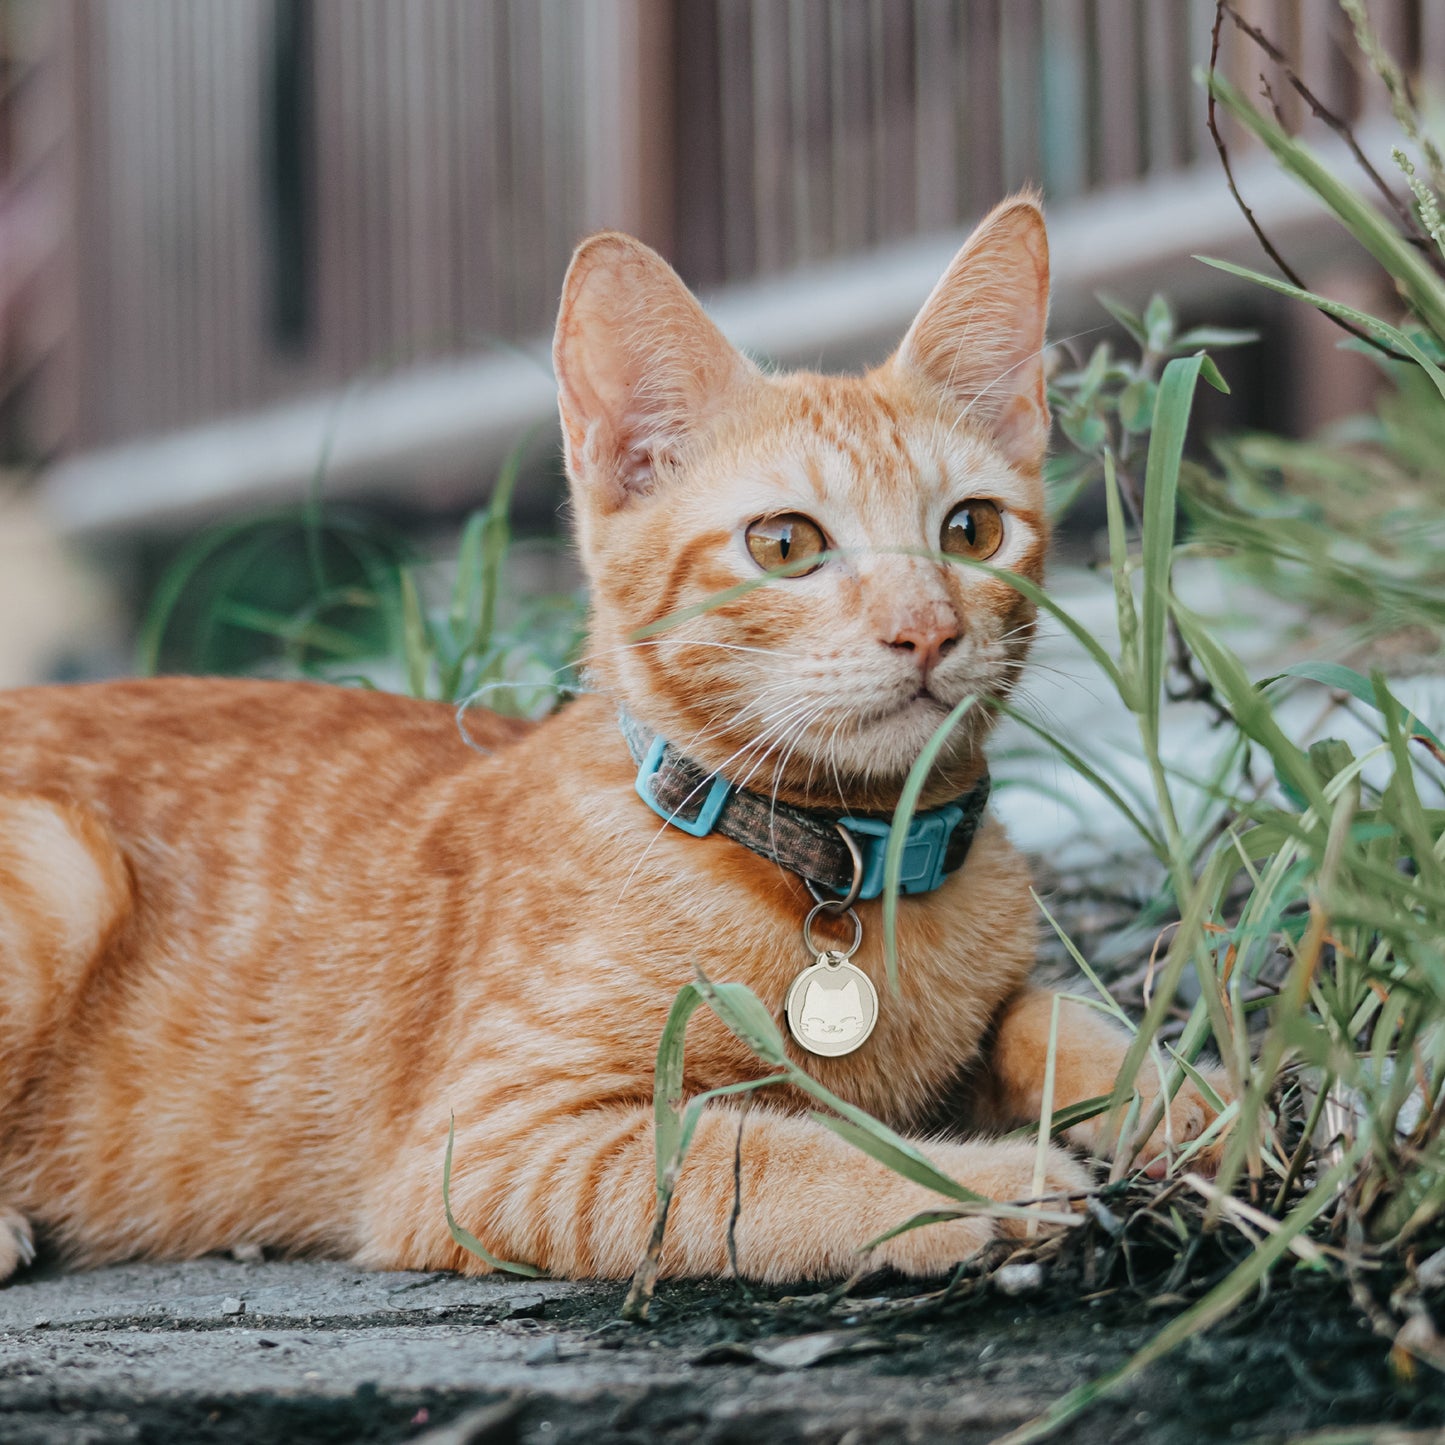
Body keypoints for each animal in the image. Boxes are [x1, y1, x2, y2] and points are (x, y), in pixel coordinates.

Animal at [0, 195, 1219, 1288]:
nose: (925, 628)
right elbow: (776, 1153)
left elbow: (1057, 1014)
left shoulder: (992, 1008)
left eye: (970, 529)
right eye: (784, 542)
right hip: (59, 873)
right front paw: (982, 1182)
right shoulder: (494, 1148)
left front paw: (1209, 1101)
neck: (845, 863)